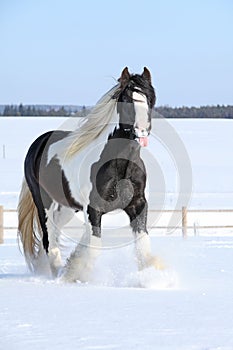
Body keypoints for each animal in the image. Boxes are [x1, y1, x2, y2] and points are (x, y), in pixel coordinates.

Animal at [17, 67, 163, 284]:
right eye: (126, 98)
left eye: (150, 98)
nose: (142, 130)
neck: (120, 164)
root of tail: (38, 143)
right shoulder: (94, 209)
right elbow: (94, 247)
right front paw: (75, 275)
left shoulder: (137, 204)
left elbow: (143, 246)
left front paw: (156, 278)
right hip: (44, 203)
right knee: (49, 240)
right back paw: (58, 273)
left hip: (66, 208)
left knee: (54, 236)